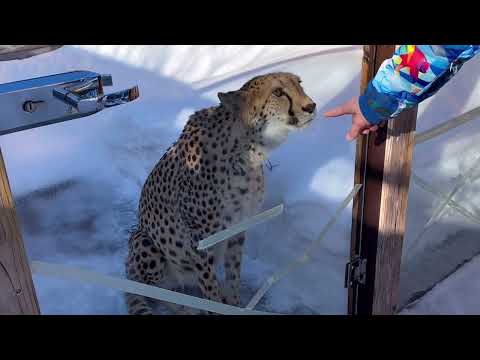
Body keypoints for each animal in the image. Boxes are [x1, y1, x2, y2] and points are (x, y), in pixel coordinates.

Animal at [125, 71, 316, 314]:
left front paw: (233, 304)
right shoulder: (199, 240)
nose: (311, 106)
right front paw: (214, 307)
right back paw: (184, 308)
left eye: (299, 84)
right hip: (145, 243)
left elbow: (233, 276)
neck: (247, 152)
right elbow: (209, 288)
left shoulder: (238, 226)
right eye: (278, 92)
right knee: (155, 289)